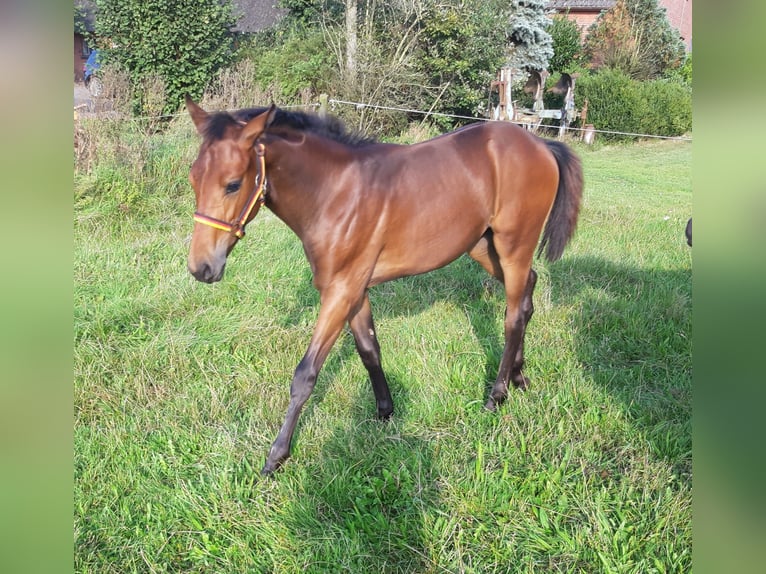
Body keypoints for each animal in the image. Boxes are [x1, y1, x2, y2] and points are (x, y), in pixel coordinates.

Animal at [184, 100, 584, 476]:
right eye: (193, 179)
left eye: (233, 184)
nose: (202, 268)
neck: (335, 193)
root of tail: (541, 143)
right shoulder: (355, 289)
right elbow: (369, 350)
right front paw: (384, 413)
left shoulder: (341, 290)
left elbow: (306, 374)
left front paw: (276, 456)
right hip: (484, 247)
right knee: (528, 293)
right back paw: (518, 375)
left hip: (513, 244)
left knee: (513, 316)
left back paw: (496, 396)